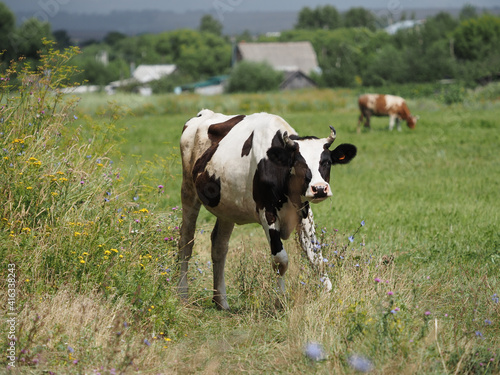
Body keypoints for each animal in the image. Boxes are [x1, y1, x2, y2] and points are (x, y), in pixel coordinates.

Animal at [178, 109, 358, 312]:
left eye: (326, 162)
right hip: (188, 192)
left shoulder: (304, 211)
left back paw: (221, 301)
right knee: (186, 242)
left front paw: (327, 296)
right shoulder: (268, 213)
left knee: (219, 246)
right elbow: (280, 260)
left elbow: (316, 257)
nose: (319, 188)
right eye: (298, 163)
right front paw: (281, 301)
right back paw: (182, 295)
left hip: (227, 207)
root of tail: (205, 113)